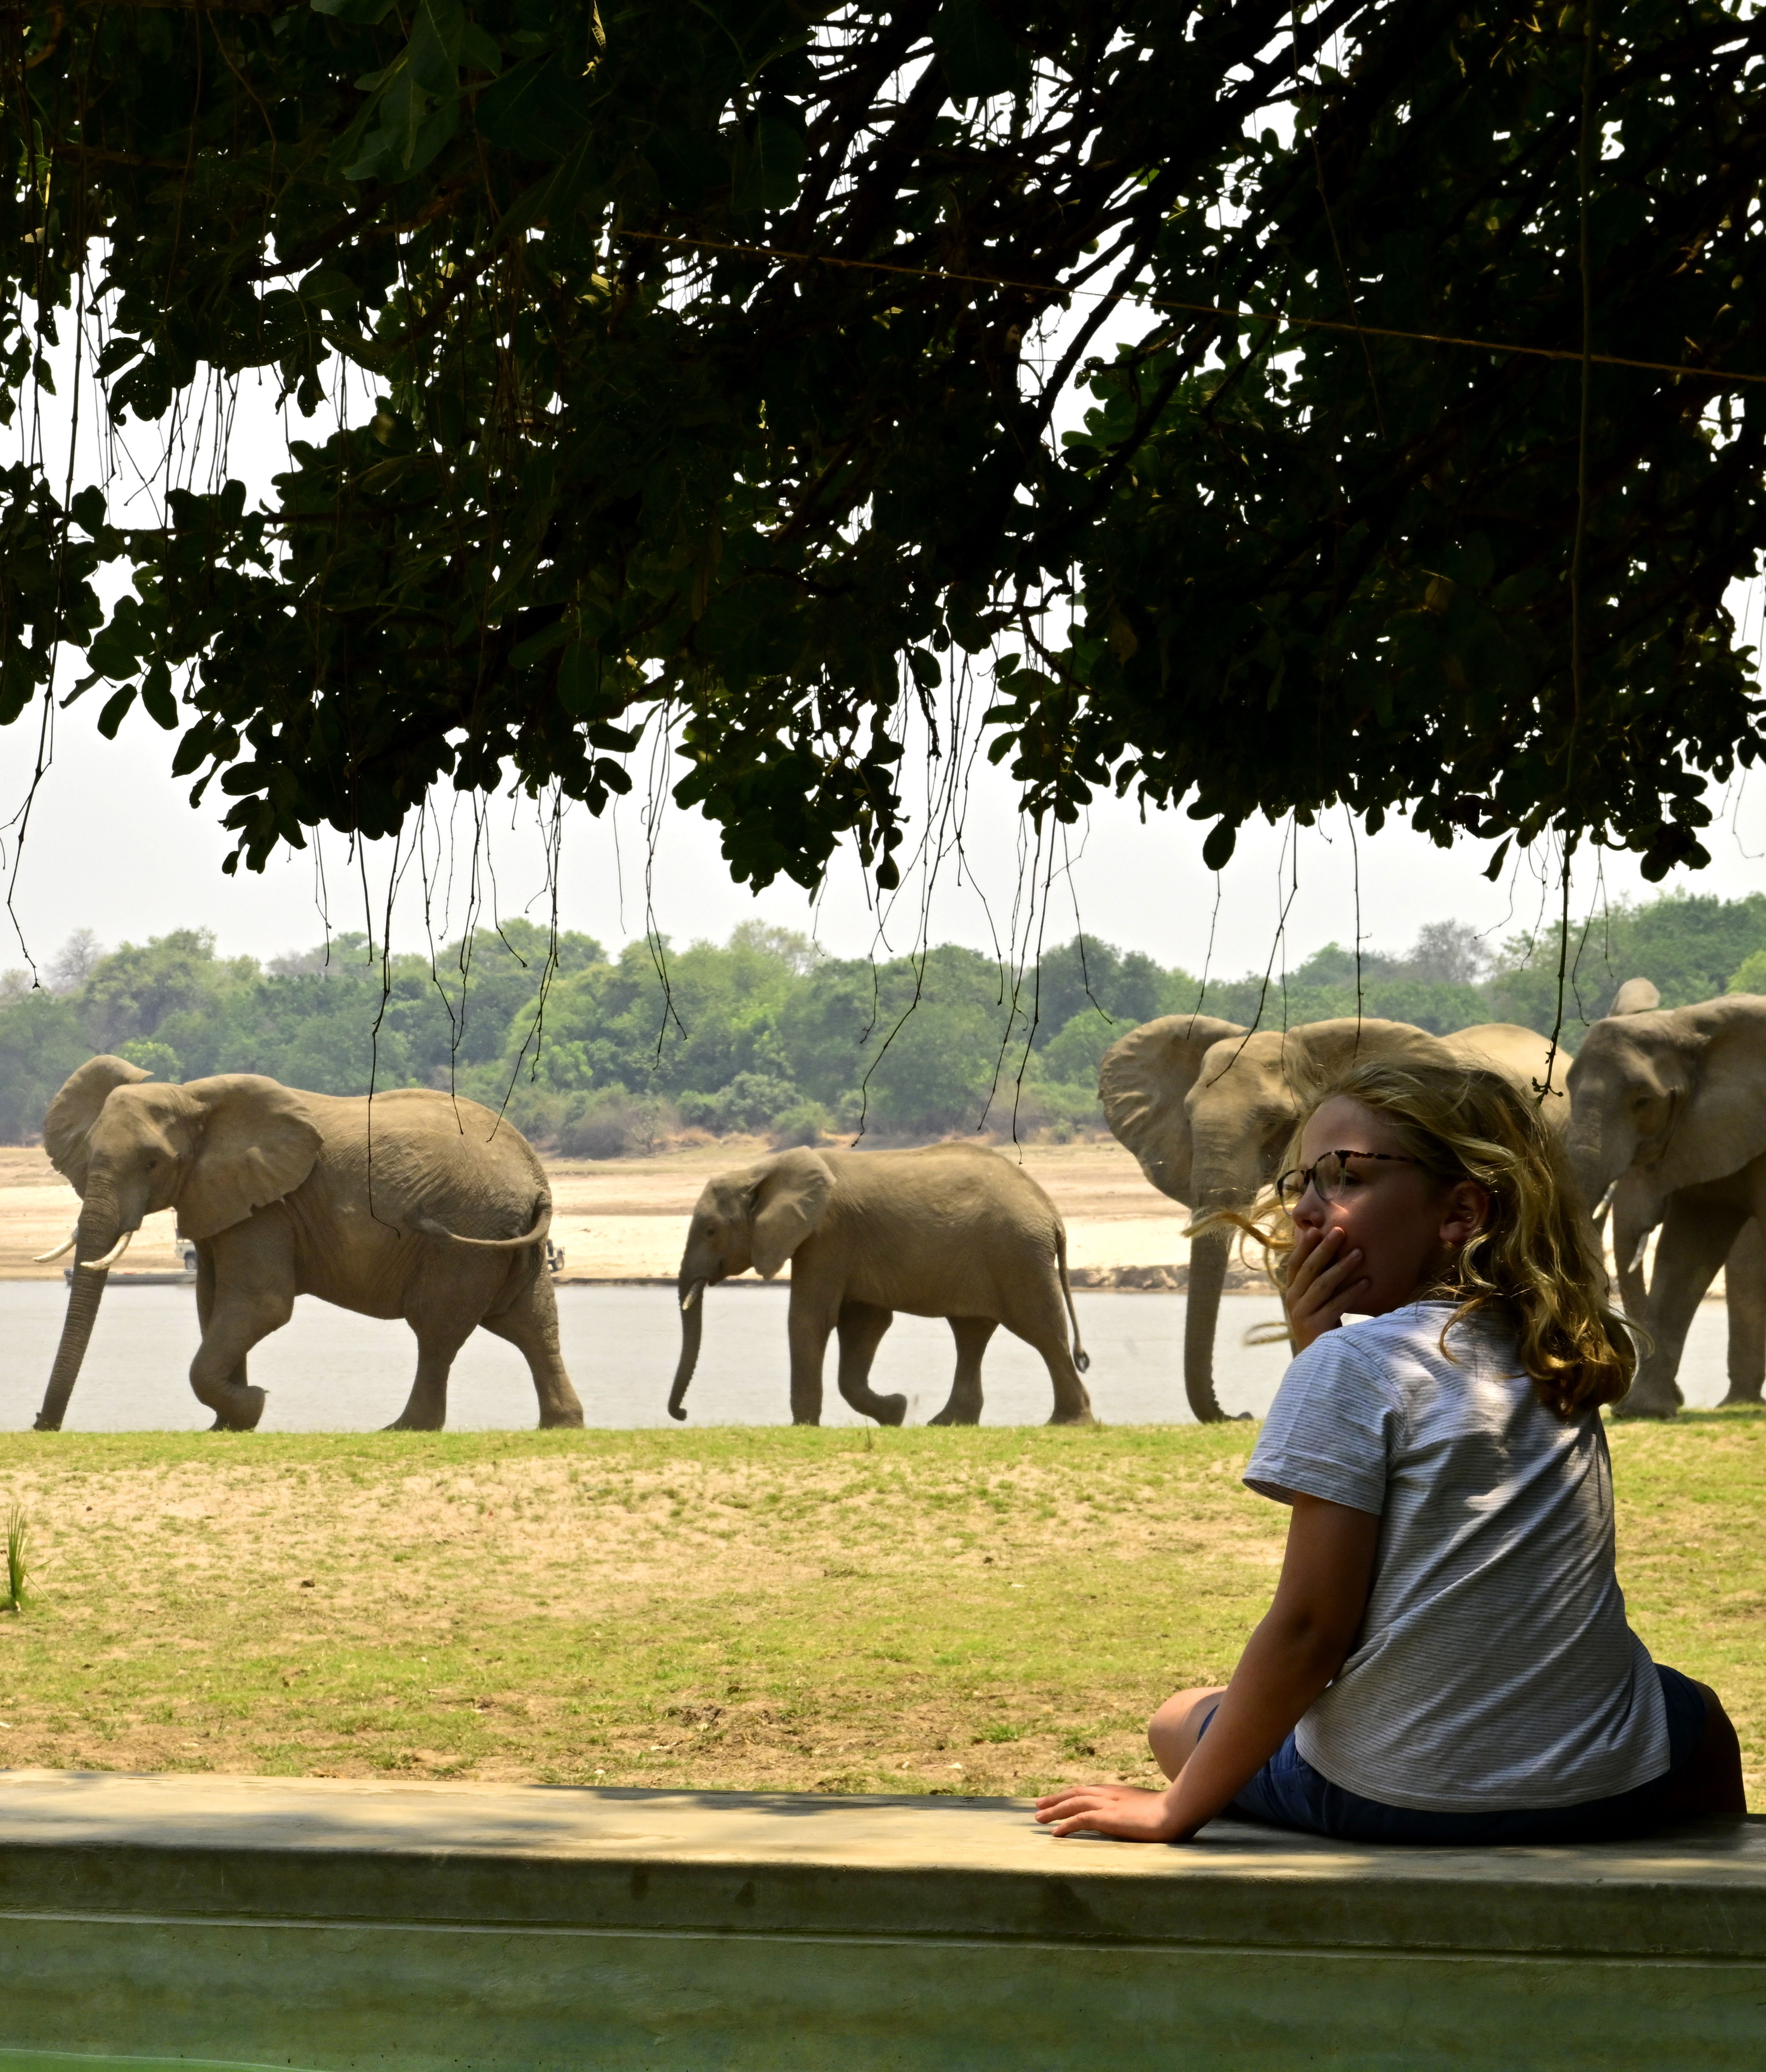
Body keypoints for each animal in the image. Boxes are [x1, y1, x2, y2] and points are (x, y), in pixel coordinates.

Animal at [32, 1055, 582, 1433]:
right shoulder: (223, 1199)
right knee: (532, 1324)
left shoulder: (270, 1207)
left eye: (152, 1163)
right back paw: (561, 1423)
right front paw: (230, 1422)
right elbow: (212, 1304)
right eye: (88, 1155)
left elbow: (260, 1304)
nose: (41, 1423)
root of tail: (536, 1177)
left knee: (438, 1329)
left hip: (467, 1236)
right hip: (502, 1236)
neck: (196, 1099)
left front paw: (252, 1402)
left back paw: (401, 1429)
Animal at [668, 1142, 1093, 1427]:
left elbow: (810, 1319)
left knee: (1041, 1329)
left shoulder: (827, 1235)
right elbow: (864, 1324)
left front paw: (804, 1427)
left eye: (710, 1230)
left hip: (1017, 1254)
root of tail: (1051, 1211)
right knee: (971, 1333)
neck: (760, 1170)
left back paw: (1067, 1423)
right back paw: (945, 1423)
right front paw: (896, 1411)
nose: (683, 1414)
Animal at [1566, 994, 1766, 1418]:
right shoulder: (1708, 1132)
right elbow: (1686, 1251)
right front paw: (1646, 1410)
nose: (1680, 1395)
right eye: (1567, 1091)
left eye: (1643, 1102)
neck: (1684, 1023)